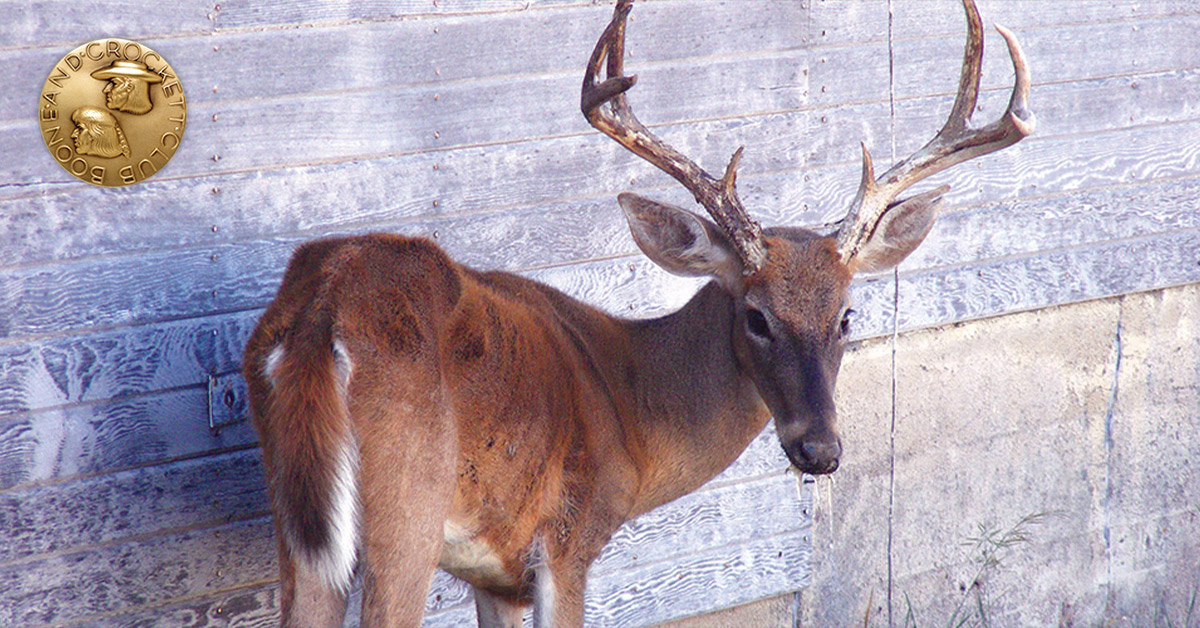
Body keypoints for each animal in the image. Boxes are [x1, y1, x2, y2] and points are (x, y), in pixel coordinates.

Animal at [243, 0, 1034, 626]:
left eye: (847, 316)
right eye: (756, 316)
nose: (820, 450)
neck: (630, 406)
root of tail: (324, 310)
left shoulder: (494, 573)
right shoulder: (566, 540)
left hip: (301, 522)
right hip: (404, 509)